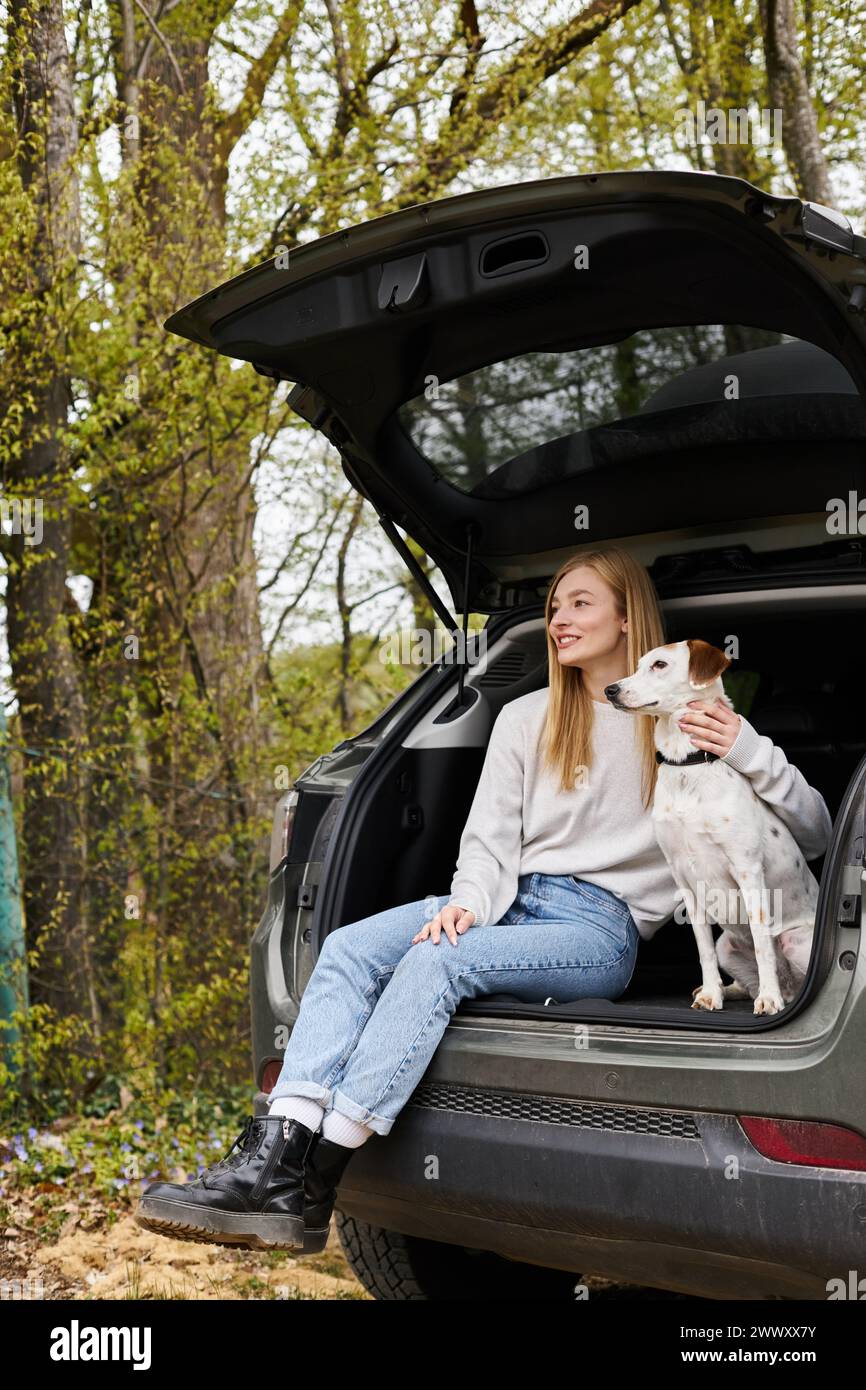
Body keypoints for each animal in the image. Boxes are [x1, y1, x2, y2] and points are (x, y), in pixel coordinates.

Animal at [603, 636, 817, 1017]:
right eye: (639, 664)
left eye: (659, 665)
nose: (610, 689)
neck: (687, 766)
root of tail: (793, 988)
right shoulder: (684, 879)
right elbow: (702, 948)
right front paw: (712, 993)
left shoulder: (748, 870)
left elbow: (762, 942)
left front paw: (769, 998)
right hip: (727, 947)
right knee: (740, 976)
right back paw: (730, 990)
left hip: (796, 941)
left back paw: (779, 993)